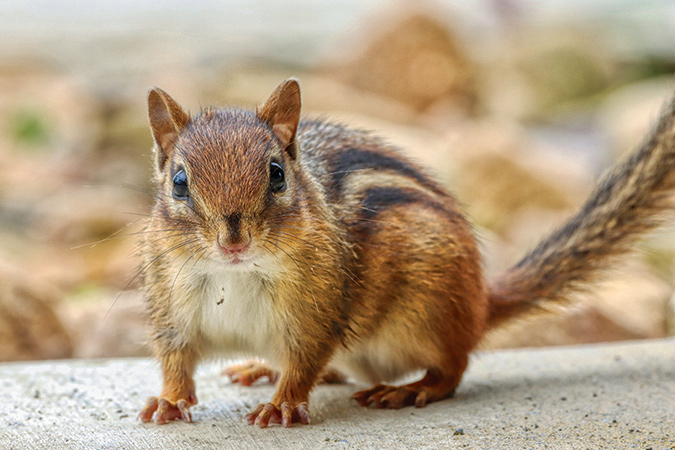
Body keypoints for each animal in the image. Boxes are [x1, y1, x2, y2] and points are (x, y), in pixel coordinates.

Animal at [137, 78, 675, 428]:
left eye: (276, 175)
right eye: (180, 182)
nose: (234, 241)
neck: (237, 273)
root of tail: (480, 301)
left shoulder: (316, 314)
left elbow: (306, 361)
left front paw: (283, 404)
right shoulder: (173, 311)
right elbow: (175, 360)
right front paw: (168, 401)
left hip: (429, 312)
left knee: (453, 368)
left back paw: (411, 388)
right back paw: (261, 367)